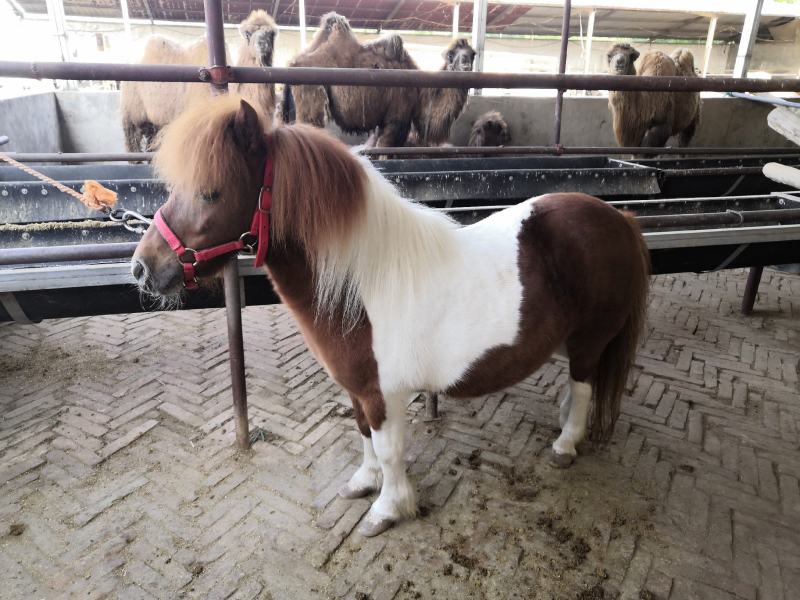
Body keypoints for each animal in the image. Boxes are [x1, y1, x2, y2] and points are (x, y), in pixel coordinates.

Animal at [132, 95, 651, 537]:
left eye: (211, 194)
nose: (143, 267)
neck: (362, 282)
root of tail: (619, 218)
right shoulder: (359, 389)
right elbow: (363, 435)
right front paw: (365, 483)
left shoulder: (385, 392)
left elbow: (389, 448)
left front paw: (388, 509)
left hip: (589, 339)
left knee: (584, 387)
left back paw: (566, 443)